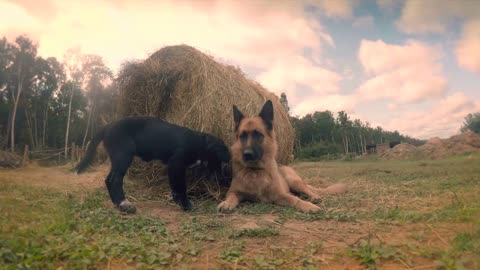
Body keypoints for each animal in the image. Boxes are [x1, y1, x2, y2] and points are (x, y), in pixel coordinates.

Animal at [75, 116, 232, 213]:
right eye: (221, 160)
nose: (223, 179)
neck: (200, 143)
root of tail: (107, 126)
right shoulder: (176, 163)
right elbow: (180, 186)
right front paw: (186, 205)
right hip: (123, 155)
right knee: (115, 180)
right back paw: (124, 204)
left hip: (117, 159)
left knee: (108, 179)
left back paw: (118, 203)